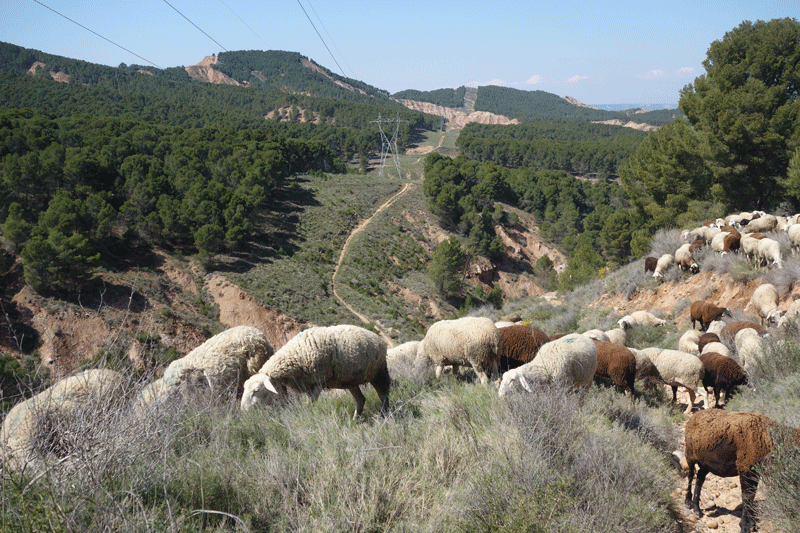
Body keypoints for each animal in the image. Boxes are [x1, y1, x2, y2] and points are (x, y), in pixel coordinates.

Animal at [244, 322, 394, 418]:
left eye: (256, 390)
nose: (244, 410)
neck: (294, 355)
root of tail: (379, 339)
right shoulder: (307, 385)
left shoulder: (318, 382)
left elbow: (311, 405)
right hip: (351, 380)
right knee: (361, 399)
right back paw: (355, 419)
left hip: (378, 372)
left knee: (384, 394)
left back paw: (384, 414)